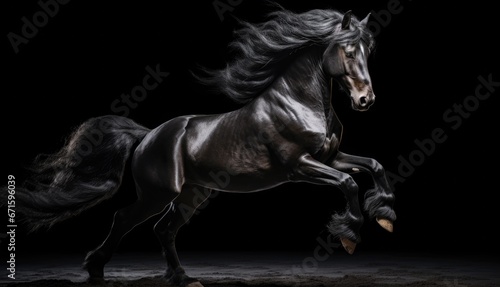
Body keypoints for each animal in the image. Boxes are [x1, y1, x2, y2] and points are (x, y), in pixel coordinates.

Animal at [14, 6, 394, 287]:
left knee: (163, 229)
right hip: (159, 193)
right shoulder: (299, 165)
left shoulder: (331, 156)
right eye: (348, 51)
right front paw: (350, 235)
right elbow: (348, 182)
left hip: (191, 194)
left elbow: (374, 165)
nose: (366, 100)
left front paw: (385, 216)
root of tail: (148, 135)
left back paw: (182, 278)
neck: (299, 102)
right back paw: (96, 271)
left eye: (368, 52)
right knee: (125, 218)